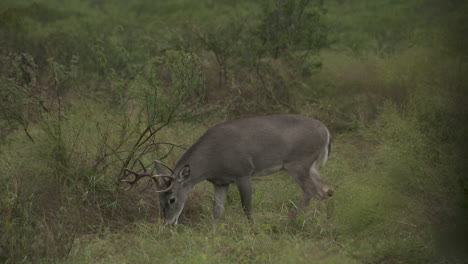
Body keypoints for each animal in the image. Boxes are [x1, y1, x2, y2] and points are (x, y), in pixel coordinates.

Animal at [119, 114, 332, 225]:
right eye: (159, 199)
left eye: (172, 199)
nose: (168, 223)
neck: (211, 162)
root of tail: (326, 132)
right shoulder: (221, 182)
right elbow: (217, 211)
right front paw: (213, 232)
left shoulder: (243, 172)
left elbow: (247, 207)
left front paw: (252, 229)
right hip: (310, 166)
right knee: (326, 189)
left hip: (299, 162)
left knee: (311, 190)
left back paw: (290, 221)